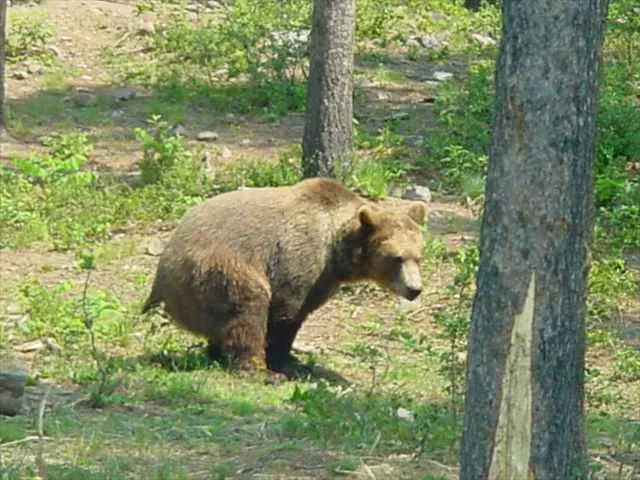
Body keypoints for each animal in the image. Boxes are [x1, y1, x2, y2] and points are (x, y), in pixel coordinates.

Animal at [142, 177, 426, 377]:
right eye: (396, 258)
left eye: (418, 256)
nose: (414, 289)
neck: (335, 249)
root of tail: (161, 275)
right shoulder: (298, 256)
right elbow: (286, 313)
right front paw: (283, 362)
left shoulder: (324, 279)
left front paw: (297, 361)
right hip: (214, 270)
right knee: (247, 309)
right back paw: (257, 369)